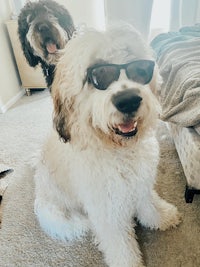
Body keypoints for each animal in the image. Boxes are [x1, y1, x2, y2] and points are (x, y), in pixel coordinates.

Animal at [34, 25, 181, 267]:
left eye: (139, 68)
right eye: (97, 75)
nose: (128, 100)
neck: (116, 148)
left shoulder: (140, 183)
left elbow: (148, 202)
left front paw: (161, 216)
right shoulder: (106, 211)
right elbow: (121, 247)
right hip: (56, 214)